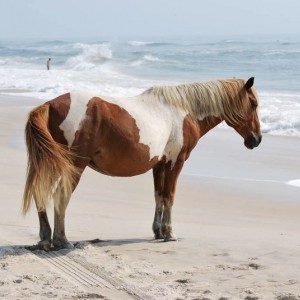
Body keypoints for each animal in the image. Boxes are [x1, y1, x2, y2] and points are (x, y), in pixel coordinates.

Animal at [22, 77, 262, 251]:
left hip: (50, 164)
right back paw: (61, 240)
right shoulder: (176, 162)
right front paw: (170, 233)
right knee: (60, 196)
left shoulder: (160, 164)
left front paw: (158, 231)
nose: (256, 139)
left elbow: (159, 196)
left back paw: (45, 239)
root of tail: (49, 105)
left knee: (40, 193)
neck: (183, 111)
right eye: (254, 104)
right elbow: (169, 196)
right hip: (74, 166)